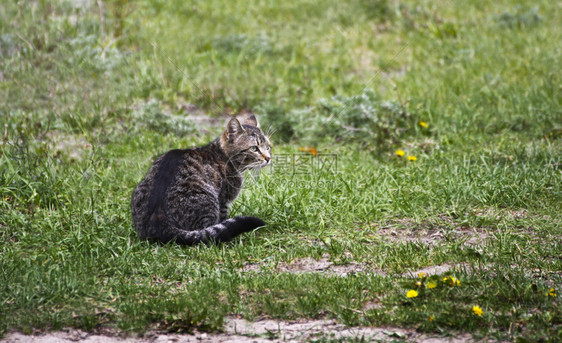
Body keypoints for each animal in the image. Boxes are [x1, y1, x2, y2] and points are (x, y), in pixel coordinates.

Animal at [131, 114, 272, 246]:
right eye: (254, 148)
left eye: (268, 147)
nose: (268, 158)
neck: (224, 156)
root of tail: (158, 219)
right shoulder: (223, 201)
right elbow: (222, 221)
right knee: (207, 235)